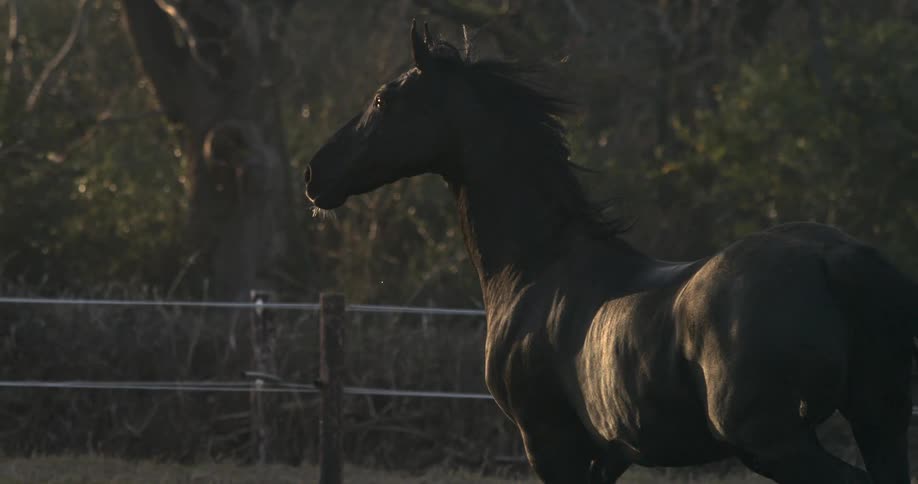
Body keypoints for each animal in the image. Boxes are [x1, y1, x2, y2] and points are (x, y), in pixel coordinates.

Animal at [303, 21, 918, 483]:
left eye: (383, 99)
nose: (315, 174)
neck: (536, 270)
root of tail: (836, 259)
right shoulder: (612, 453)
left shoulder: (548, 442)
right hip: (879, 421)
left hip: (775, 442)